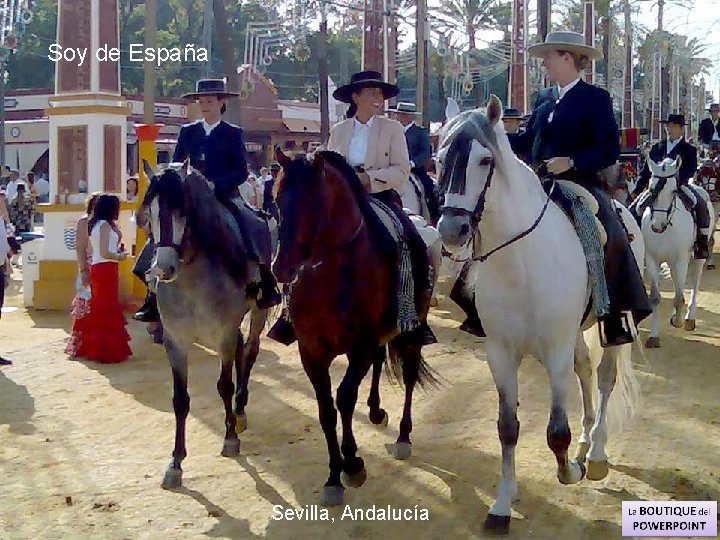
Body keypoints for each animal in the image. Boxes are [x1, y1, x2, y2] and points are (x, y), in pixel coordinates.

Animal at [137, 162, 268, 492]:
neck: (192, 282)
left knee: (250, 351)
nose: (163, 269)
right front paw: (175, 463)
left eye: (182, 210)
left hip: (259, 311)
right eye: (150, 212)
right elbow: (180, 400)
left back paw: (240, 411)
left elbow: (224, 385)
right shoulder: (175, 340)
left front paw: (230, 439)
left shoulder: (224, 334)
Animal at [272, 147, 436, 506]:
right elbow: (325, 410)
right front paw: (334, 476)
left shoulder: (361, 344)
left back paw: (403, 436)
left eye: (313, 201)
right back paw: (375, 411)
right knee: (379, 362)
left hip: (412, 331)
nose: (281, 267)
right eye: (276, 198)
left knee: (409, 374)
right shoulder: (312, 352)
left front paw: (353, 464)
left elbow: (345, 397)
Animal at [434, 96, 640, 532]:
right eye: (440, 158)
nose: (452, 230)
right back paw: (586, 443)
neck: (521, 263)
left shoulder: (554, 350)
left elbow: (556, 431)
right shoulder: (500, 353)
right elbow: (508, 428)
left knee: (605, 377)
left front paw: (570, 472)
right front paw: (501, 504)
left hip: (611, 326)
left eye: (484, 160)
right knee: (585, 370)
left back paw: (595, 455)